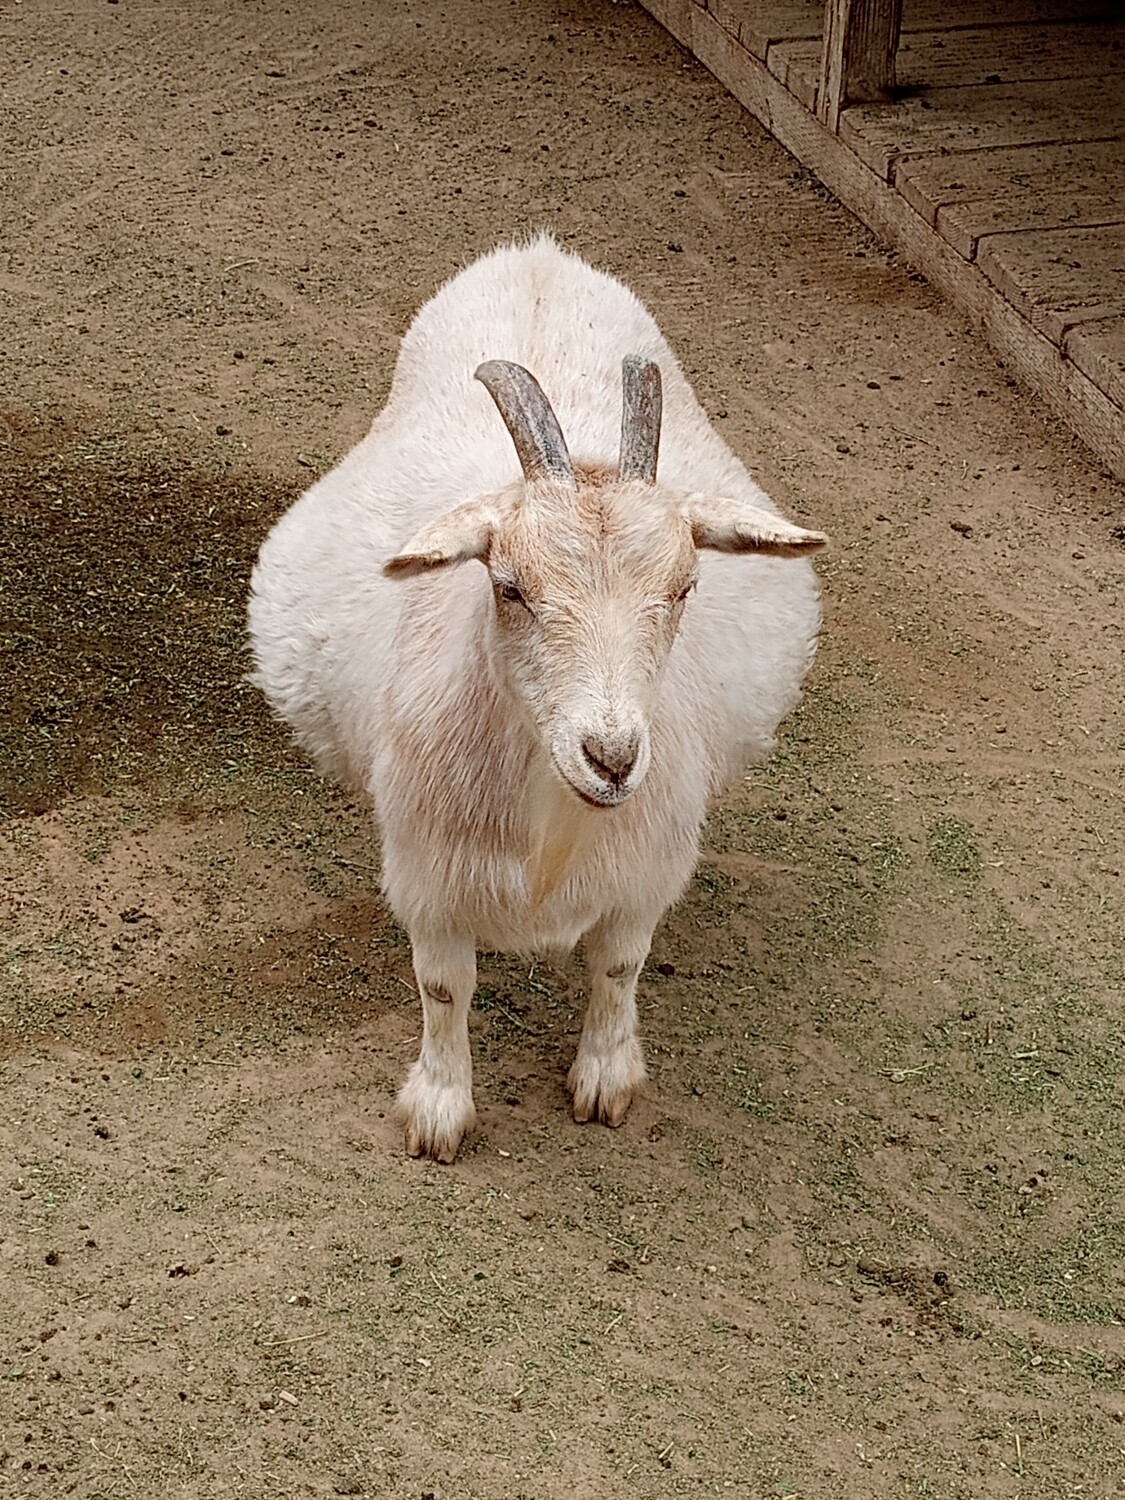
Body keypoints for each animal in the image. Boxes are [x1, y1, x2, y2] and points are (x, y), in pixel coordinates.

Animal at [248, 234, 826, 1162]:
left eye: (685, 586)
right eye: (509, 586)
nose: (612, 759)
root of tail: (538, 258)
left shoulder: (643, 867)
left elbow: (618, 968)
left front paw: (603, 1080)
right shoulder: (430, 874)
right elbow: (443, 987)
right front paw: (438, 1111)